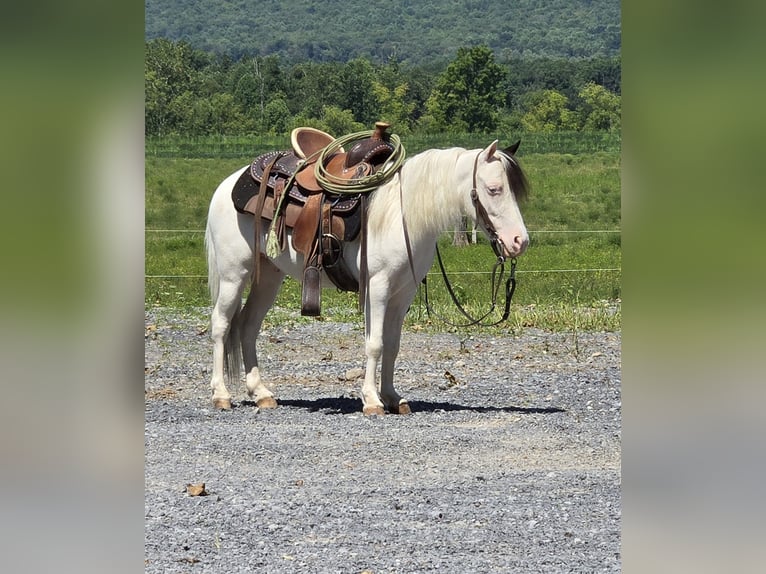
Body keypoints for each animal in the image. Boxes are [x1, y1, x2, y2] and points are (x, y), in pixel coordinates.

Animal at [204, 139, 530, 415]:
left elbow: (392, 345)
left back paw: (261, 393)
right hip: (234, 273)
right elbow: (375, 343)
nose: (519, 241)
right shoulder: (378, 287)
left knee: (248, 326)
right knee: (221, 325)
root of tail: (227, 185)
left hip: (269, 277)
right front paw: (372, 400)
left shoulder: (404, 292)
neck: (402, 214)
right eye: (494, 189)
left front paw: (393, 397)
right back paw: (221, 395)